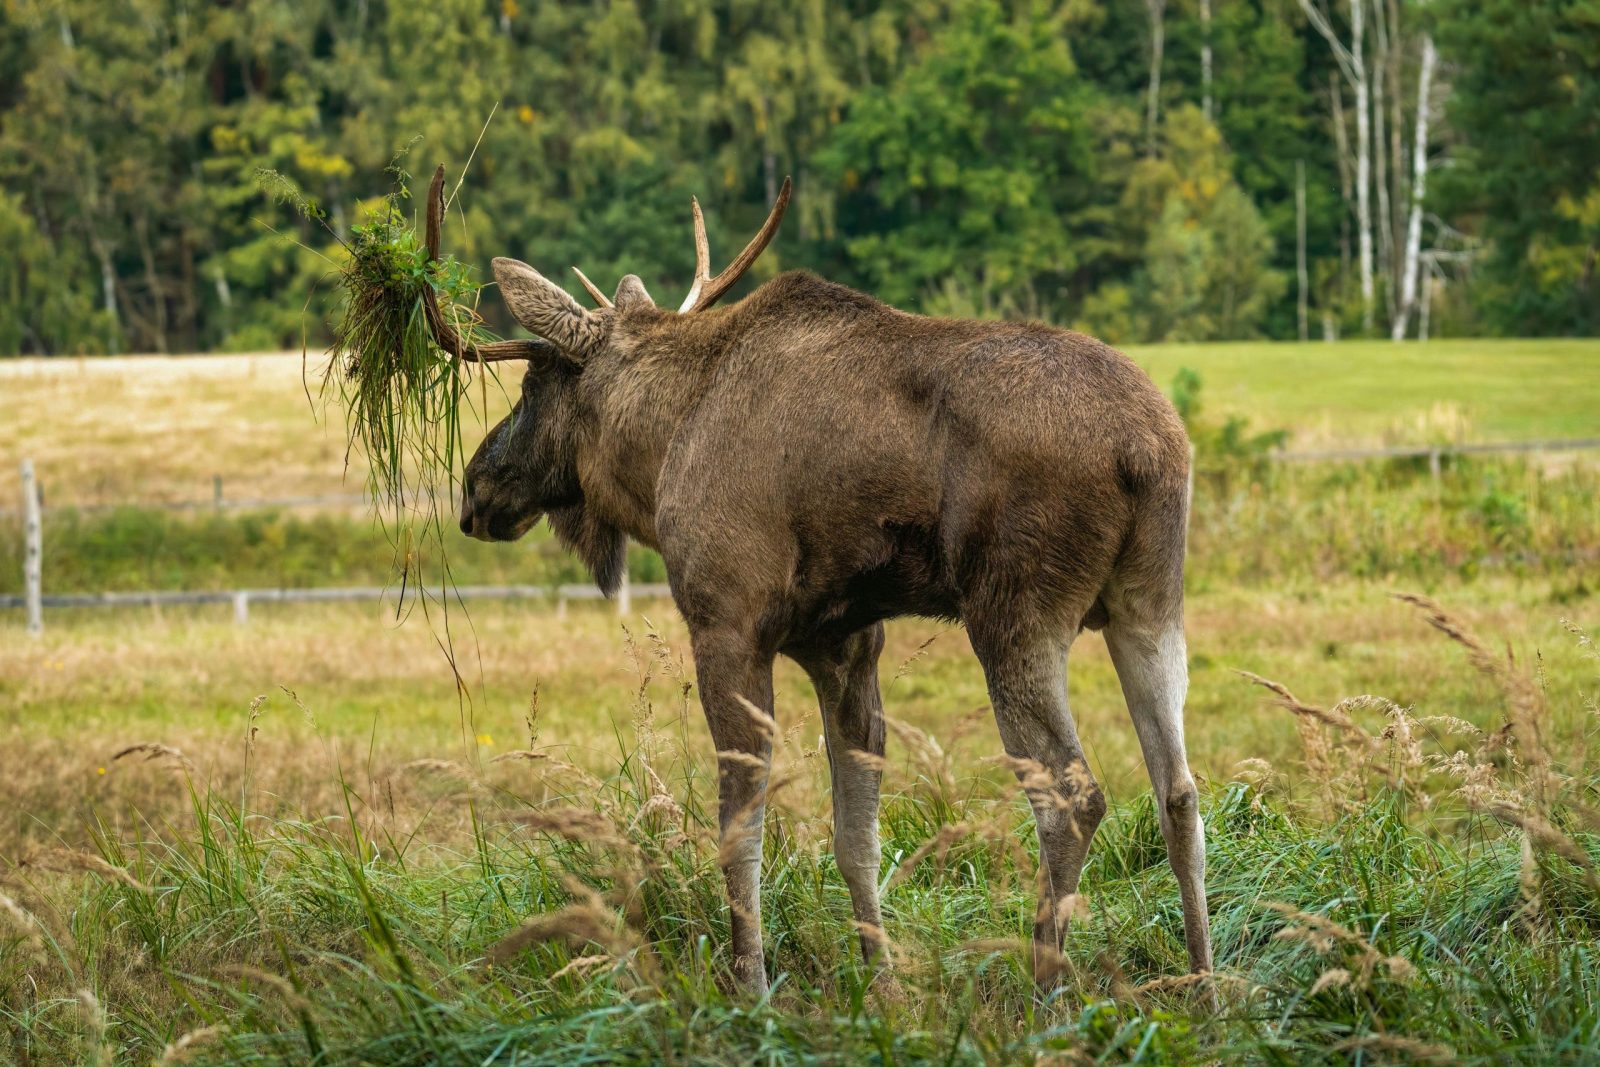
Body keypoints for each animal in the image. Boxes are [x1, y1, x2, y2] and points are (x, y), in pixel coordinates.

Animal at [420, 165, 1212, 996]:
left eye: (533, 384)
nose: (475, 485)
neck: (660, 447)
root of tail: (1143, 449)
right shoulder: (846, 641)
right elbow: (855, 835)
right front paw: (884, 981)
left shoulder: (726, 622)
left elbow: (742, 828)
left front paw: (750, 983)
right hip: (1149, 602)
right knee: (1179, 788)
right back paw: (1206, 984)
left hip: (1015, 611)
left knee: (1073, 796)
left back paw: (1047, 990)